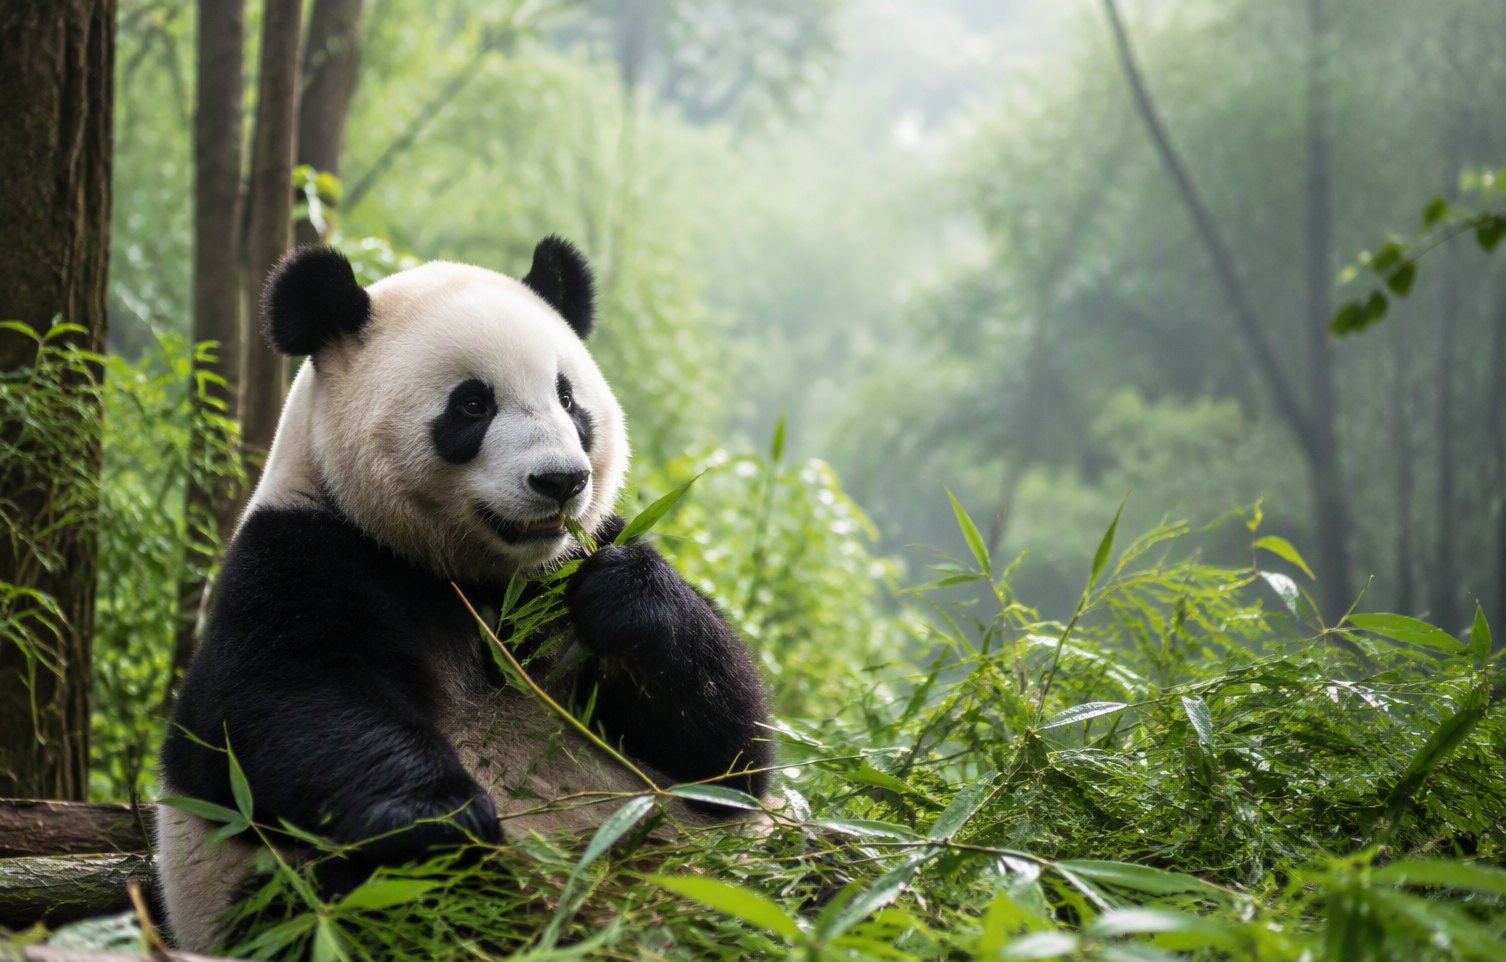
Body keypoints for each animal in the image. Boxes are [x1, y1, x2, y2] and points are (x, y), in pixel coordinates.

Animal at [156, 237, 772, 951]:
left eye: (568, 399)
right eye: (472, 404)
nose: (560, 481)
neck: (476, 577)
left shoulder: (564, 574)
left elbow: (727, 756)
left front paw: (626, 597)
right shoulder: (303, 551)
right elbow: (271, 707)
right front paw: (446, 817)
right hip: (274, 899)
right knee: (359, 907)